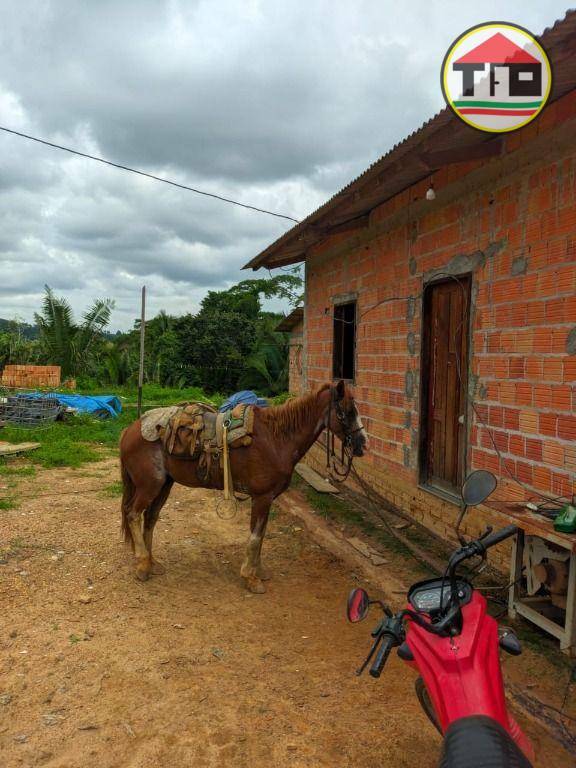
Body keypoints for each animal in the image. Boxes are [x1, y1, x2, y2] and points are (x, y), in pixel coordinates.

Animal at [119, 384, 366, 592]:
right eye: (345, 413)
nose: (362, 444)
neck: (276, 439)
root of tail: (129, 430)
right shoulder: (262, 497)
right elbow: (255, 537)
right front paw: (250, 578)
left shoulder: (268, 498)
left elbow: (261, 534)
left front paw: (259, 571)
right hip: (149, 486)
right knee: (133, 514)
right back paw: (143, 565)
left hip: (164, 485)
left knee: (150, 518)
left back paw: (152, 563)